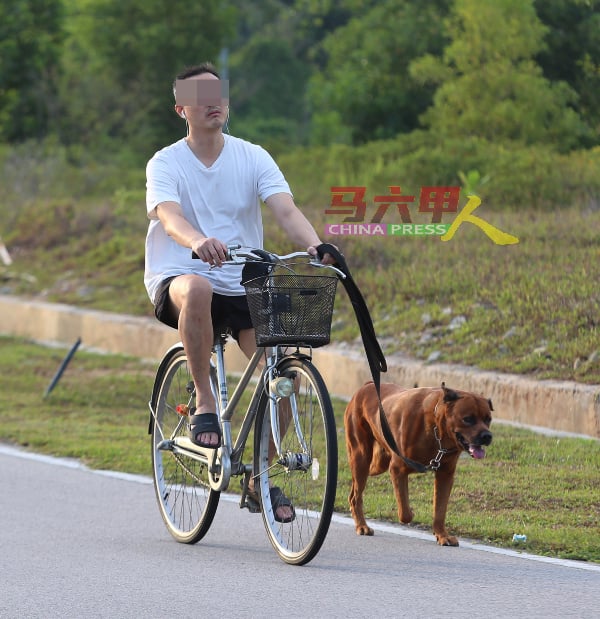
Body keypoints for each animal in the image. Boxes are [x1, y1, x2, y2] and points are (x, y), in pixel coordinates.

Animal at [346, 382, 492, 548]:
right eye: (468, 419)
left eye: (488, 419)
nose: (487, 436)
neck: (437, 429)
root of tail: (367, 385)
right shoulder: (397, 469)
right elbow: (405, 514)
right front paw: (412, 513)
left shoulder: (445, 475)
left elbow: (440, 510)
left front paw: (442, 535)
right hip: (361, 456)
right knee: (356, 496)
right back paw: (362, 526)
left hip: (377, 462)